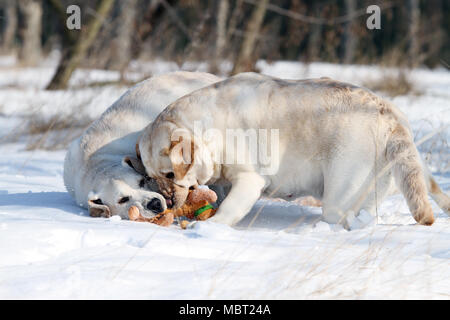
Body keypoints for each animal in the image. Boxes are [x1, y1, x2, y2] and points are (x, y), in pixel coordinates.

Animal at [139, 72, 448, 228]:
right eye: (151, 177)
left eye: (171, 173)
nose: (168, 200)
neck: (209, 128)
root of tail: (390, 116)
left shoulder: (249, 179)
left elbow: (229, 208)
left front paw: (208, 227)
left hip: (341, 193)